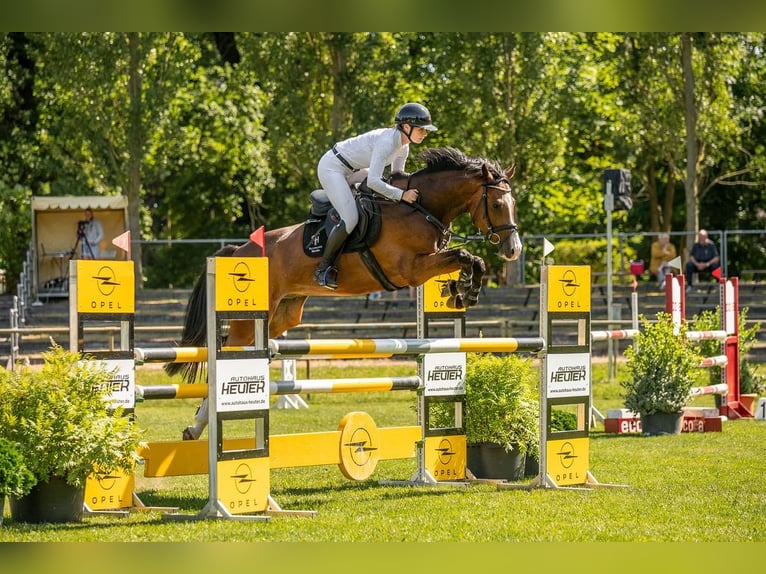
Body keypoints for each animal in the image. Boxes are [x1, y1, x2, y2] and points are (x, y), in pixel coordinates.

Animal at [166, 146, 522, 439]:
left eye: (513, 204)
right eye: (496, 204)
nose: (513, 250)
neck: (420, 208)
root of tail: (241, 249)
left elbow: (470, 258)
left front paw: (461, 291)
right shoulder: (410, 270)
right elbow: (462, 255)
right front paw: (464, 289)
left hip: (283, 313)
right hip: (253, 315)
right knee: (226, 350)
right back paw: (196, 425)